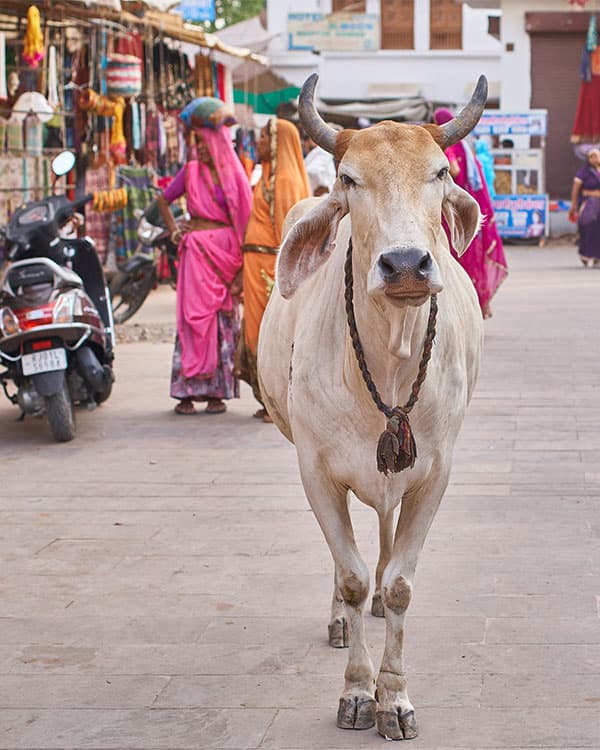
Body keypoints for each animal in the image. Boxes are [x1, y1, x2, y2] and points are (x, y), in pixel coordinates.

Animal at [258, 73, 488, 744]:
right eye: (349, 179)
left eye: (440, 171)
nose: (406, 264)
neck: (390, 358)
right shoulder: (315, 471)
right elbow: (353, 575)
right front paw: (359, 692)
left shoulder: (433, 473)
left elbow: (402, 582)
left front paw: (396, 697)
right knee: (353, 565)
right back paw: (342, 618)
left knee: (384, 539)